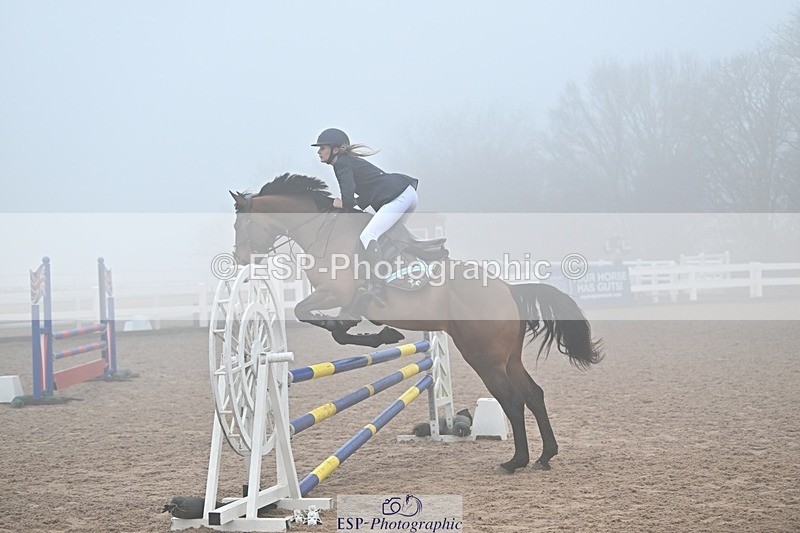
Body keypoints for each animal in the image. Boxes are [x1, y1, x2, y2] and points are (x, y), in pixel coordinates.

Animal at [229, 173, 604, 473]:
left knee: (512, 400)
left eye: (238, 225)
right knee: (533, 394)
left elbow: (314, 317)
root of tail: (509, 290)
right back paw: (544, 456)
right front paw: (377, 334)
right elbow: (336, 326)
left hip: (484, 358)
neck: (324, 233)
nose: (239, 259)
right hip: (508, 358)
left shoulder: (334, 292)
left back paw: (515, 462)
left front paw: (376, 334)